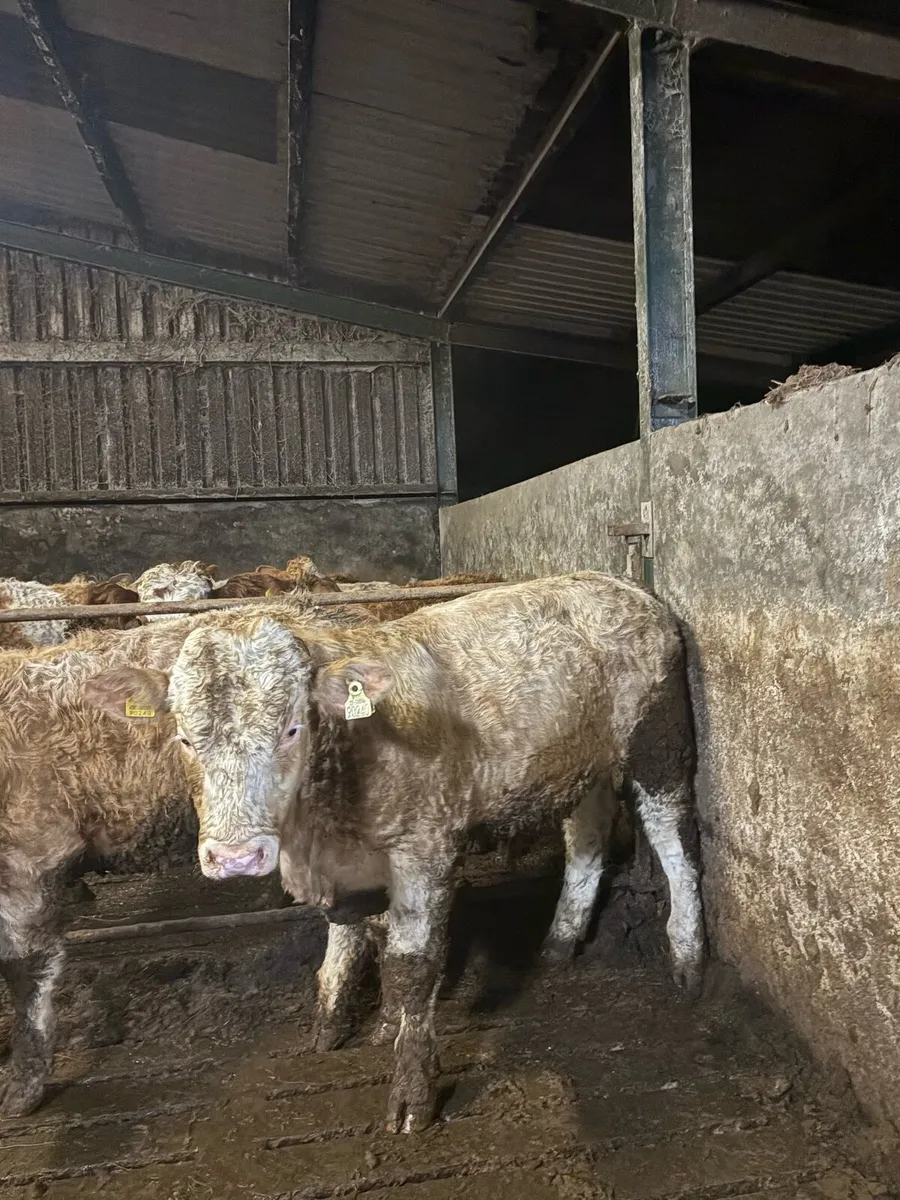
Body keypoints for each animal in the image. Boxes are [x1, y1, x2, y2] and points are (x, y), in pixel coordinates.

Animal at [0, 597, 373, 1117]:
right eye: (184, 738)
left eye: (290, 729)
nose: (233, 856)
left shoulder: (27, 858)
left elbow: (25, 972)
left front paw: (22, 1088)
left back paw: (332, 1017)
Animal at [86, 573, 706, 1134]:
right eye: (186, 738)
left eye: (291, 730)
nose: (236, 856)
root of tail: (620, 584)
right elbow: (356, 937)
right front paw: (343, 1026)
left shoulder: (423, 845)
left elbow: (413, 964)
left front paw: (412, 1091)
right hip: (579, 759)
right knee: (587, 834)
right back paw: (561, 938)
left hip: (658, 738)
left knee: (672, 835)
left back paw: (687, 954)